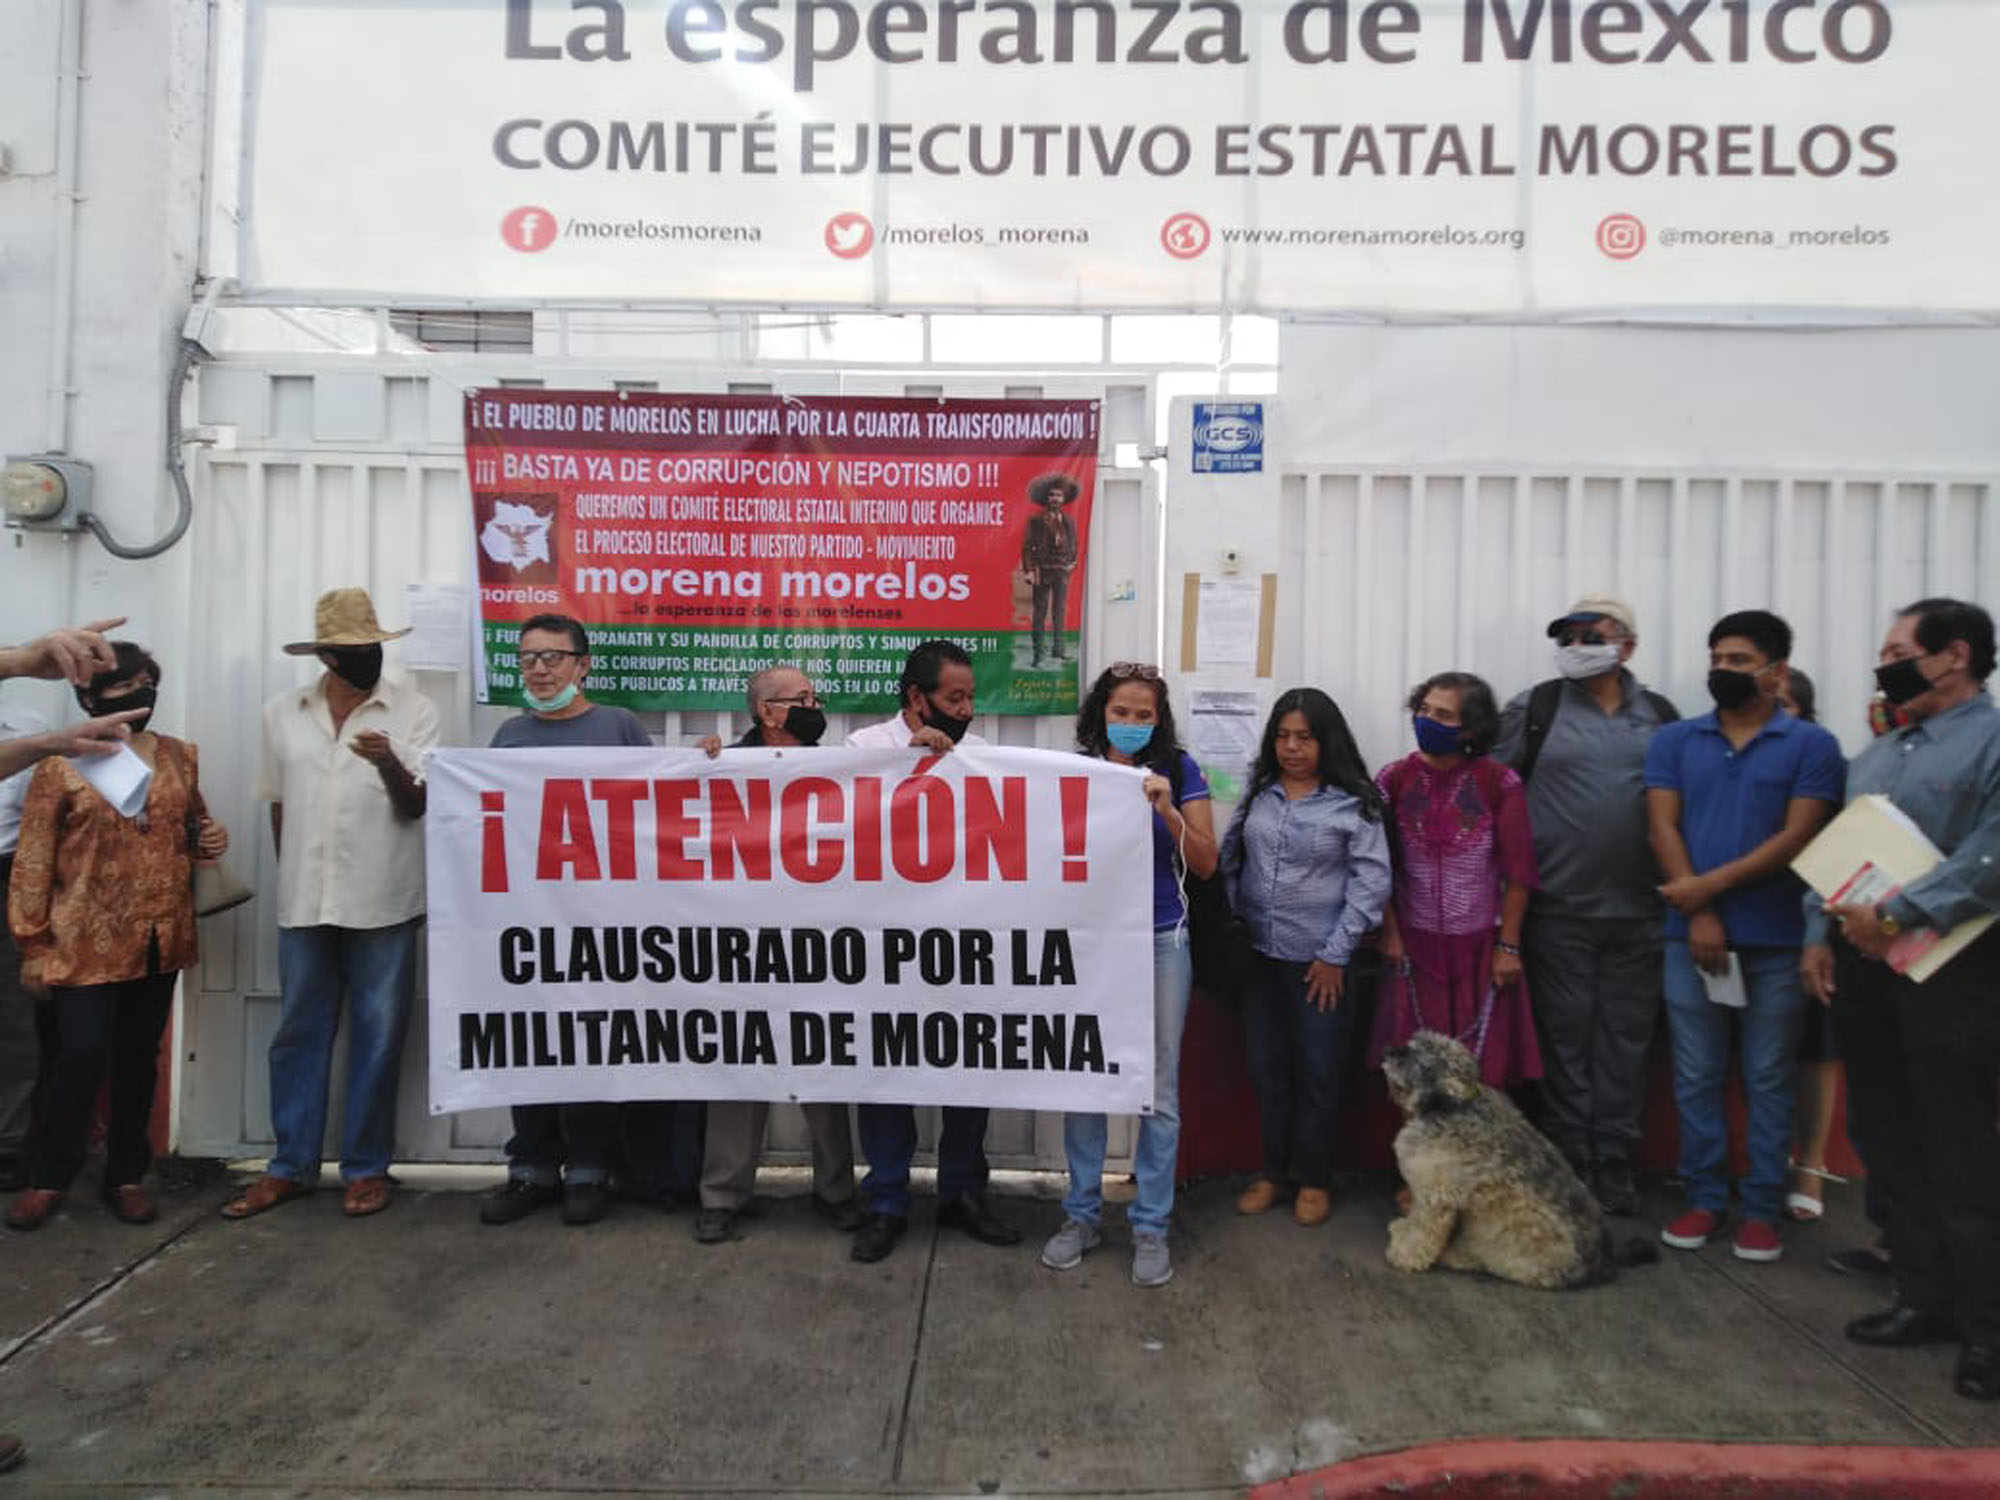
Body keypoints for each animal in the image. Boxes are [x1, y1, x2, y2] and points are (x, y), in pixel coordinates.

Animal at [1384, 1032, 1648, 1296]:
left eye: (1422, 1059)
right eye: (1412, 1042)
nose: (1389, 1052)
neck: (1451, 1105)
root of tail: (1604, 1263)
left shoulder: (1437, 1192)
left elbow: (1423, 1226)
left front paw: (1404, 1253)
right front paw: (1403, 1229)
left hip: (1504, 1245)